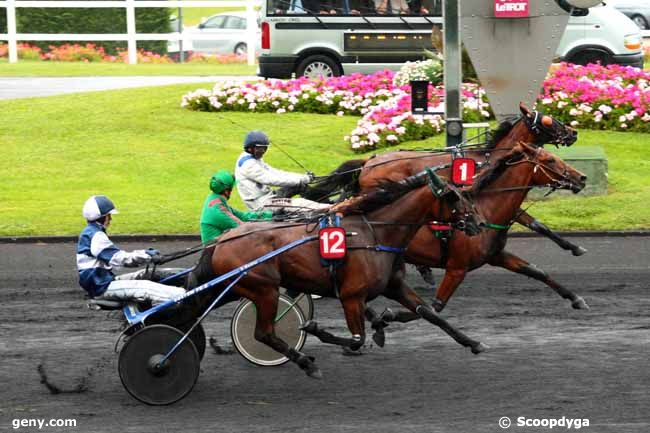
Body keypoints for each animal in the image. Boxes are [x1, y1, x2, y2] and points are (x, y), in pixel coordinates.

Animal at [190, 167, 484, 376]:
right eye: (454, 196)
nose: (478, 223)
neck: (375, 233)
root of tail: (222, 240)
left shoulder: (394, 285)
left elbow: (431, 314)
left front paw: (473, 343)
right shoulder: (352, 295)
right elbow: (355, 339)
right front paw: (316, 328)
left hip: (237, 287)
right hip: (264, 289)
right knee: (263, 333)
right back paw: (306, 363)